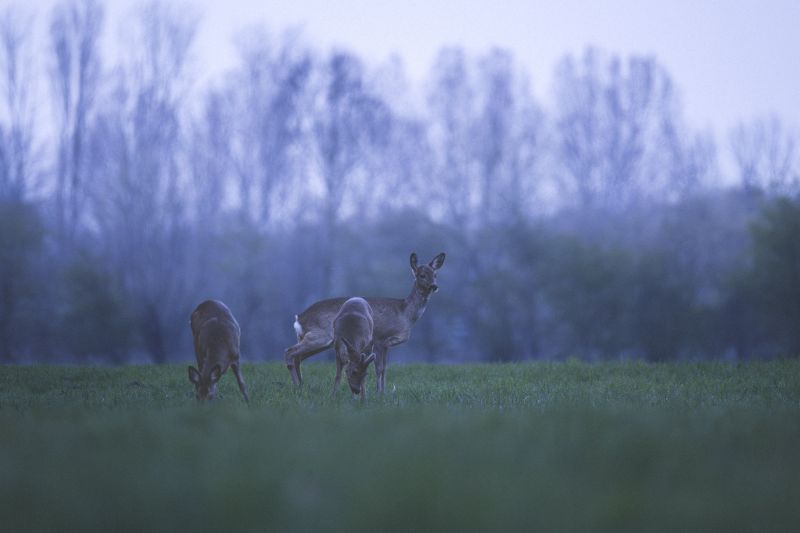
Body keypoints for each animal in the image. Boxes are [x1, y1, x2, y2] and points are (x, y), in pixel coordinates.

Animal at [285, 252, 445, 393]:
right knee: (290, 352)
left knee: (298, 357)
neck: (405, 313)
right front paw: (379, 392)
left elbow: (385, 368)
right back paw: (297, 386)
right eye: (422, 275)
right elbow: (379, 368)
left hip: (320, 340)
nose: (434, 286)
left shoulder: (386, 345)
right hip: (320, 335)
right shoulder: (380, 338)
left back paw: (301, 385)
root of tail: (299, 318)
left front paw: (383, 391)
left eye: (435, 275)